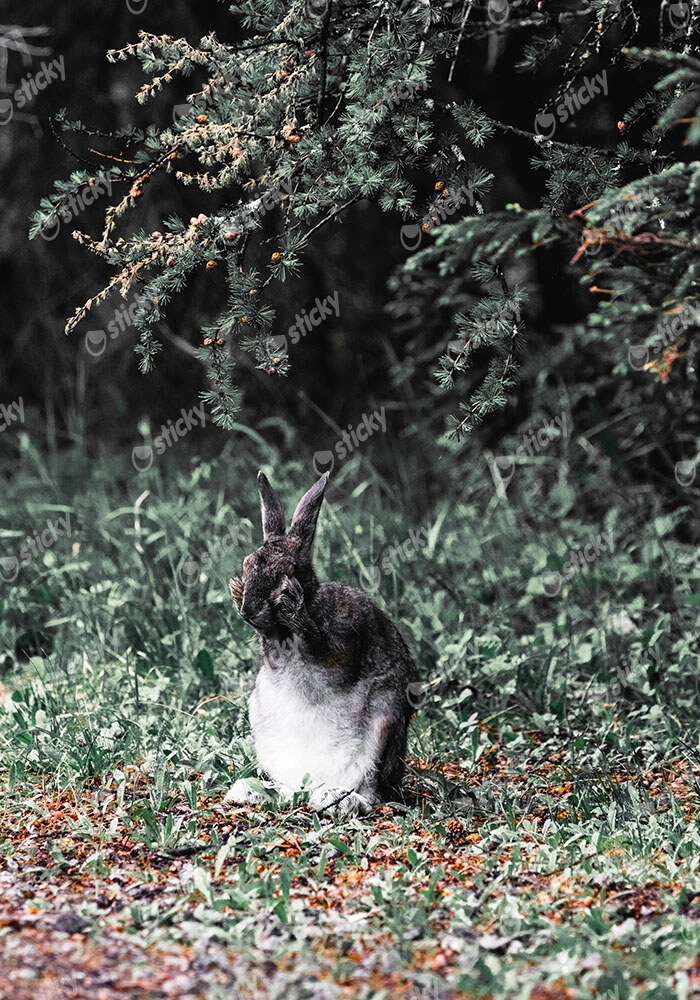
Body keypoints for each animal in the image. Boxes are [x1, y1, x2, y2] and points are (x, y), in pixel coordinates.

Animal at [224, 470, 418, 816]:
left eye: (288, 571)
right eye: (247, 564)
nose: (247, 609)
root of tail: (313, 781)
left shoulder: (346, 638)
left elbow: (322, 646)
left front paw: (295, 608)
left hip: (384, 724)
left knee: (372, 794)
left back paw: (337, 799)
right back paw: (253, 791)